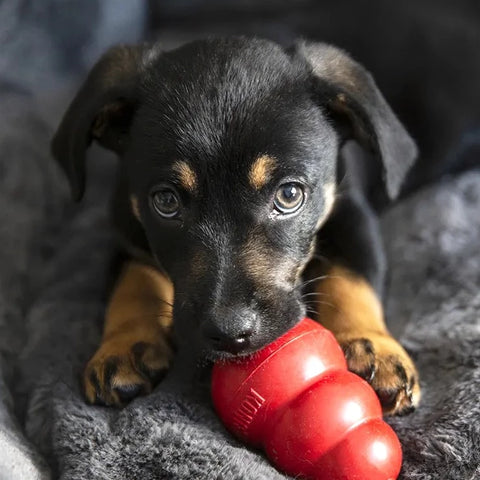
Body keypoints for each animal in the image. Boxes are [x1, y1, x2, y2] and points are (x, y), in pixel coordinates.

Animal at [51, 36, 420, 416]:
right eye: (166, 201)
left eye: (289, 195)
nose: (230, 333)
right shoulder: (126, 229)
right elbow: (132, 281)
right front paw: (124, 345)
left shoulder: (353, 214)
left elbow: (352, 277)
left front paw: (372, 345)